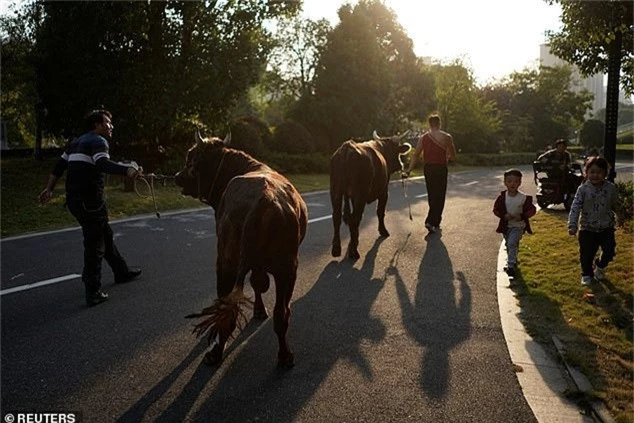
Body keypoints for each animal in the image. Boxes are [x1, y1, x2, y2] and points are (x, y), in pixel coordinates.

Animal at [174, 132, 308, 368]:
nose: (177, 176)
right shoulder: (259, 266)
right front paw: (259, 311)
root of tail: (264, 198)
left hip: (226, 261)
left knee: (227, 310)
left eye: (190, 157)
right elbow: (258, 284)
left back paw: (215, 353)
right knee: (282, 313)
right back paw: (285, 356)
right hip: (287, 268)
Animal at [328, 131, 412, 260]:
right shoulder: (384, 191)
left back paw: (337, 249)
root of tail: (347, 148)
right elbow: (380, 212)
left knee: (337, 217)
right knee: (354, 219)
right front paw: (383, 231)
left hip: (335, 191)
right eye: (397, 151)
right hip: (360, 194)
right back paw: (354, 252)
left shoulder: (352, 197)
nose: (401, 165)